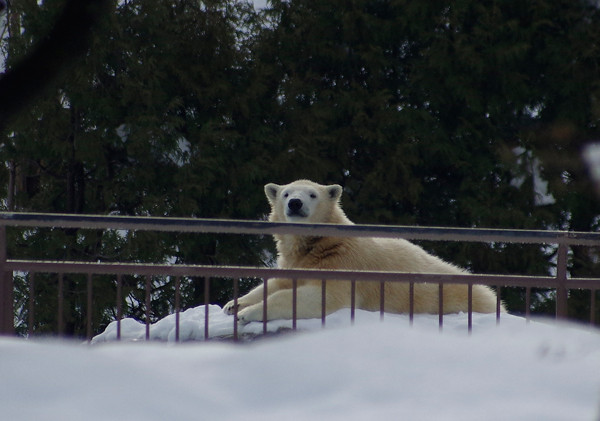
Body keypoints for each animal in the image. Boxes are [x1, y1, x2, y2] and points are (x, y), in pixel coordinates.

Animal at [224, 178, 502, 322]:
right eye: (285, 193)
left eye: (312, 194)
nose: (295, 203)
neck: (322, 244)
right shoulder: (298, 262)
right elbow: (276, 283)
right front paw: (234, 304)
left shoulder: (343, 264)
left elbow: (320, 297)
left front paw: (247, 313)